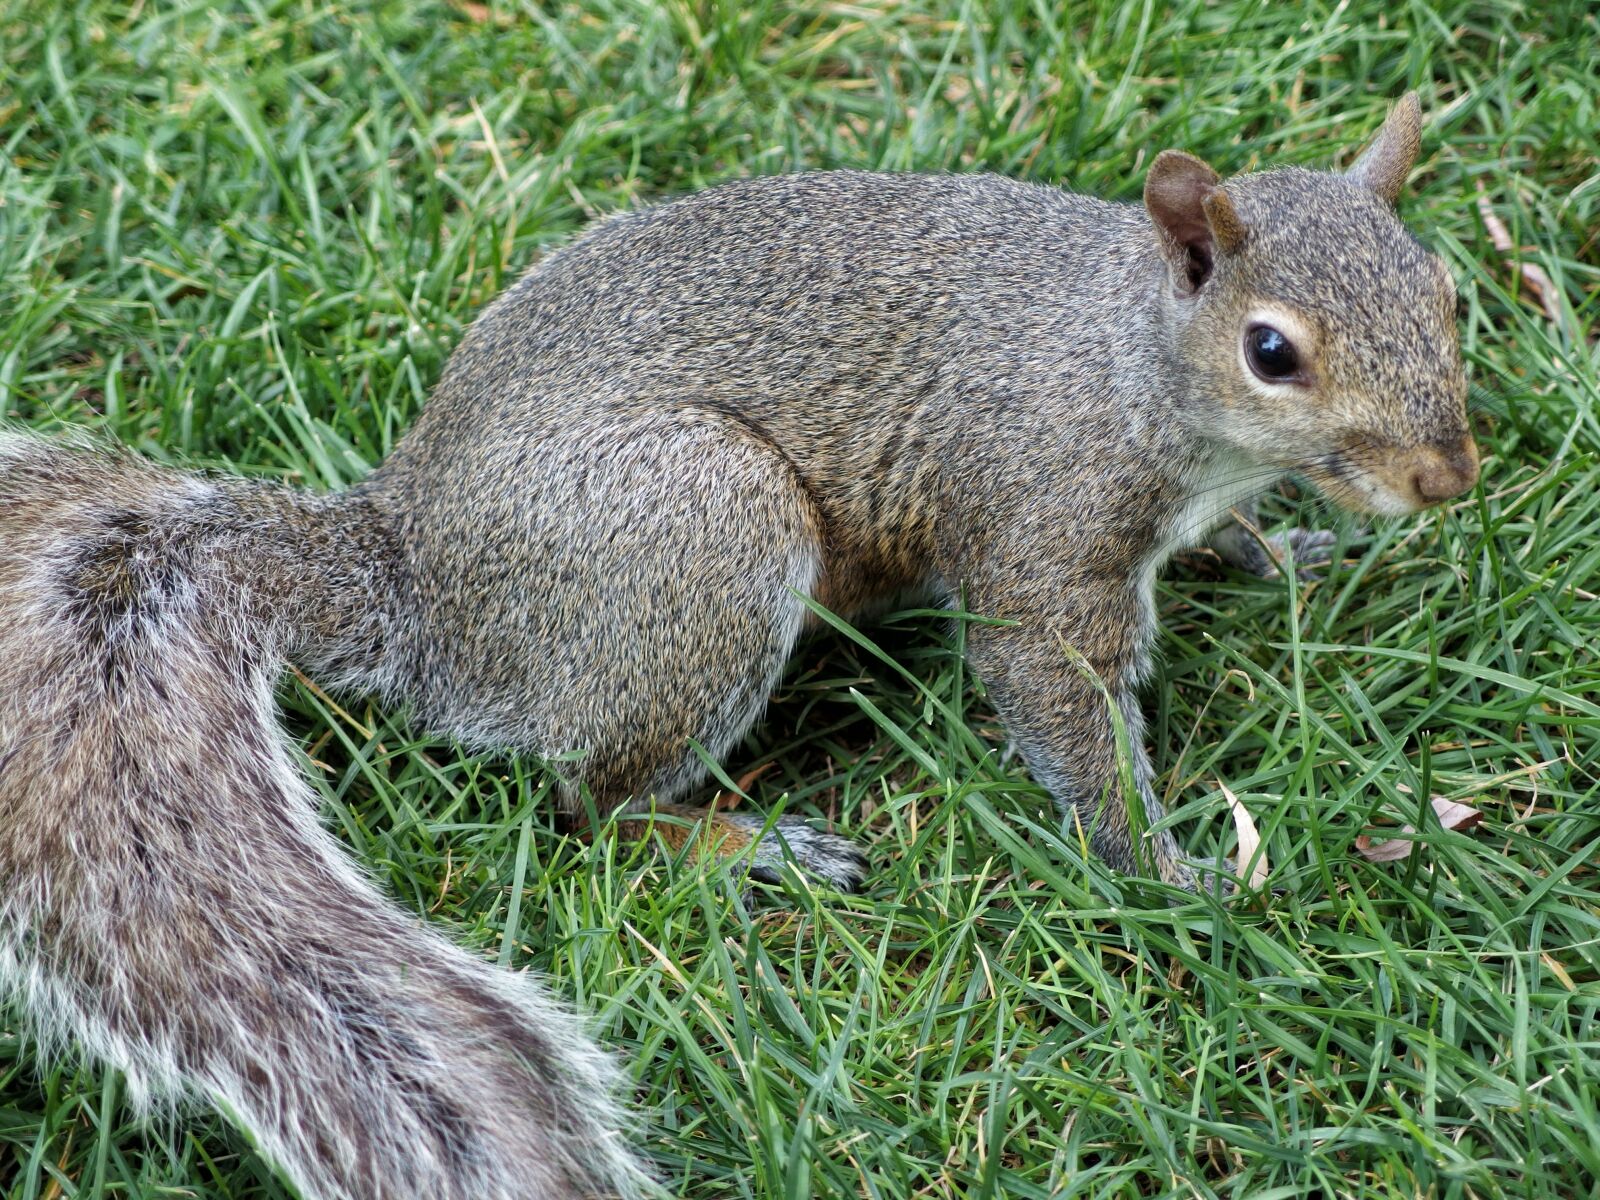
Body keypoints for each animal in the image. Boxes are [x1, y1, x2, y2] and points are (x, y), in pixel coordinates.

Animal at [0, 96, 1472, 1200]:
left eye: (1446, 291)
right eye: (1272, 351)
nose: (1447, 478)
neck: (1128, 359)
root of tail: (415, 579)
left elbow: (1227, 545)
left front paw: (1287, 560)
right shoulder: (1043, 532)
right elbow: (1059, 703)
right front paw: (1172, 876)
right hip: (705, 534)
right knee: (589, 805)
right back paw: (749, 848)